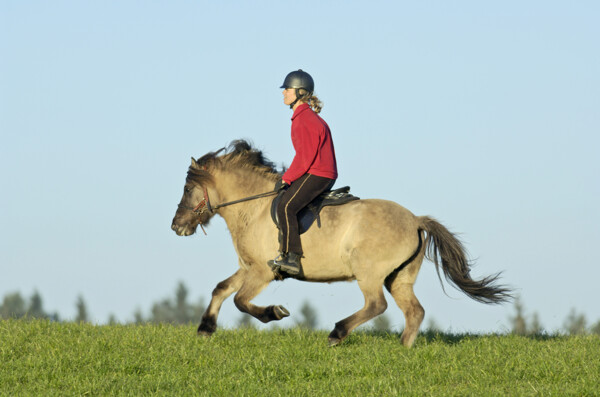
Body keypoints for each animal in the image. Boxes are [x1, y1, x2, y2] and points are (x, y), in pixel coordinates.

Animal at [171, 140, 512, 346]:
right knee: (414, 311)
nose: (176, 226)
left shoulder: (263, 272)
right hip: (399, 277)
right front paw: (205, 329)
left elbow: (241, 301)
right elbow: (221, 289)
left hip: (369, 271)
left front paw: (275, 313)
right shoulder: (249, 267)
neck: (253, 208)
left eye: (188, 188)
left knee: (377, 305)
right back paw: (403, 349)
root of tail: (416, 220)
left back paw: (338, 332)